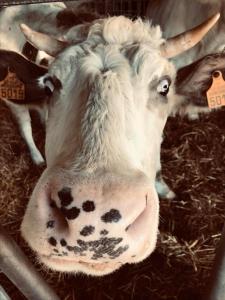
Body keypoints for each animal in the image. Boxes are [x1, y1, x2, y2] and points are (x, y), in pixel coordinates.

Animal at [1, 3, 225, 276]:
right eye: (50, 85)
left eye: (164, 86)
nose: (93, 221)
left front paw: (164, 188)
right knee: (23, 121)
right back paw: (36, 155)